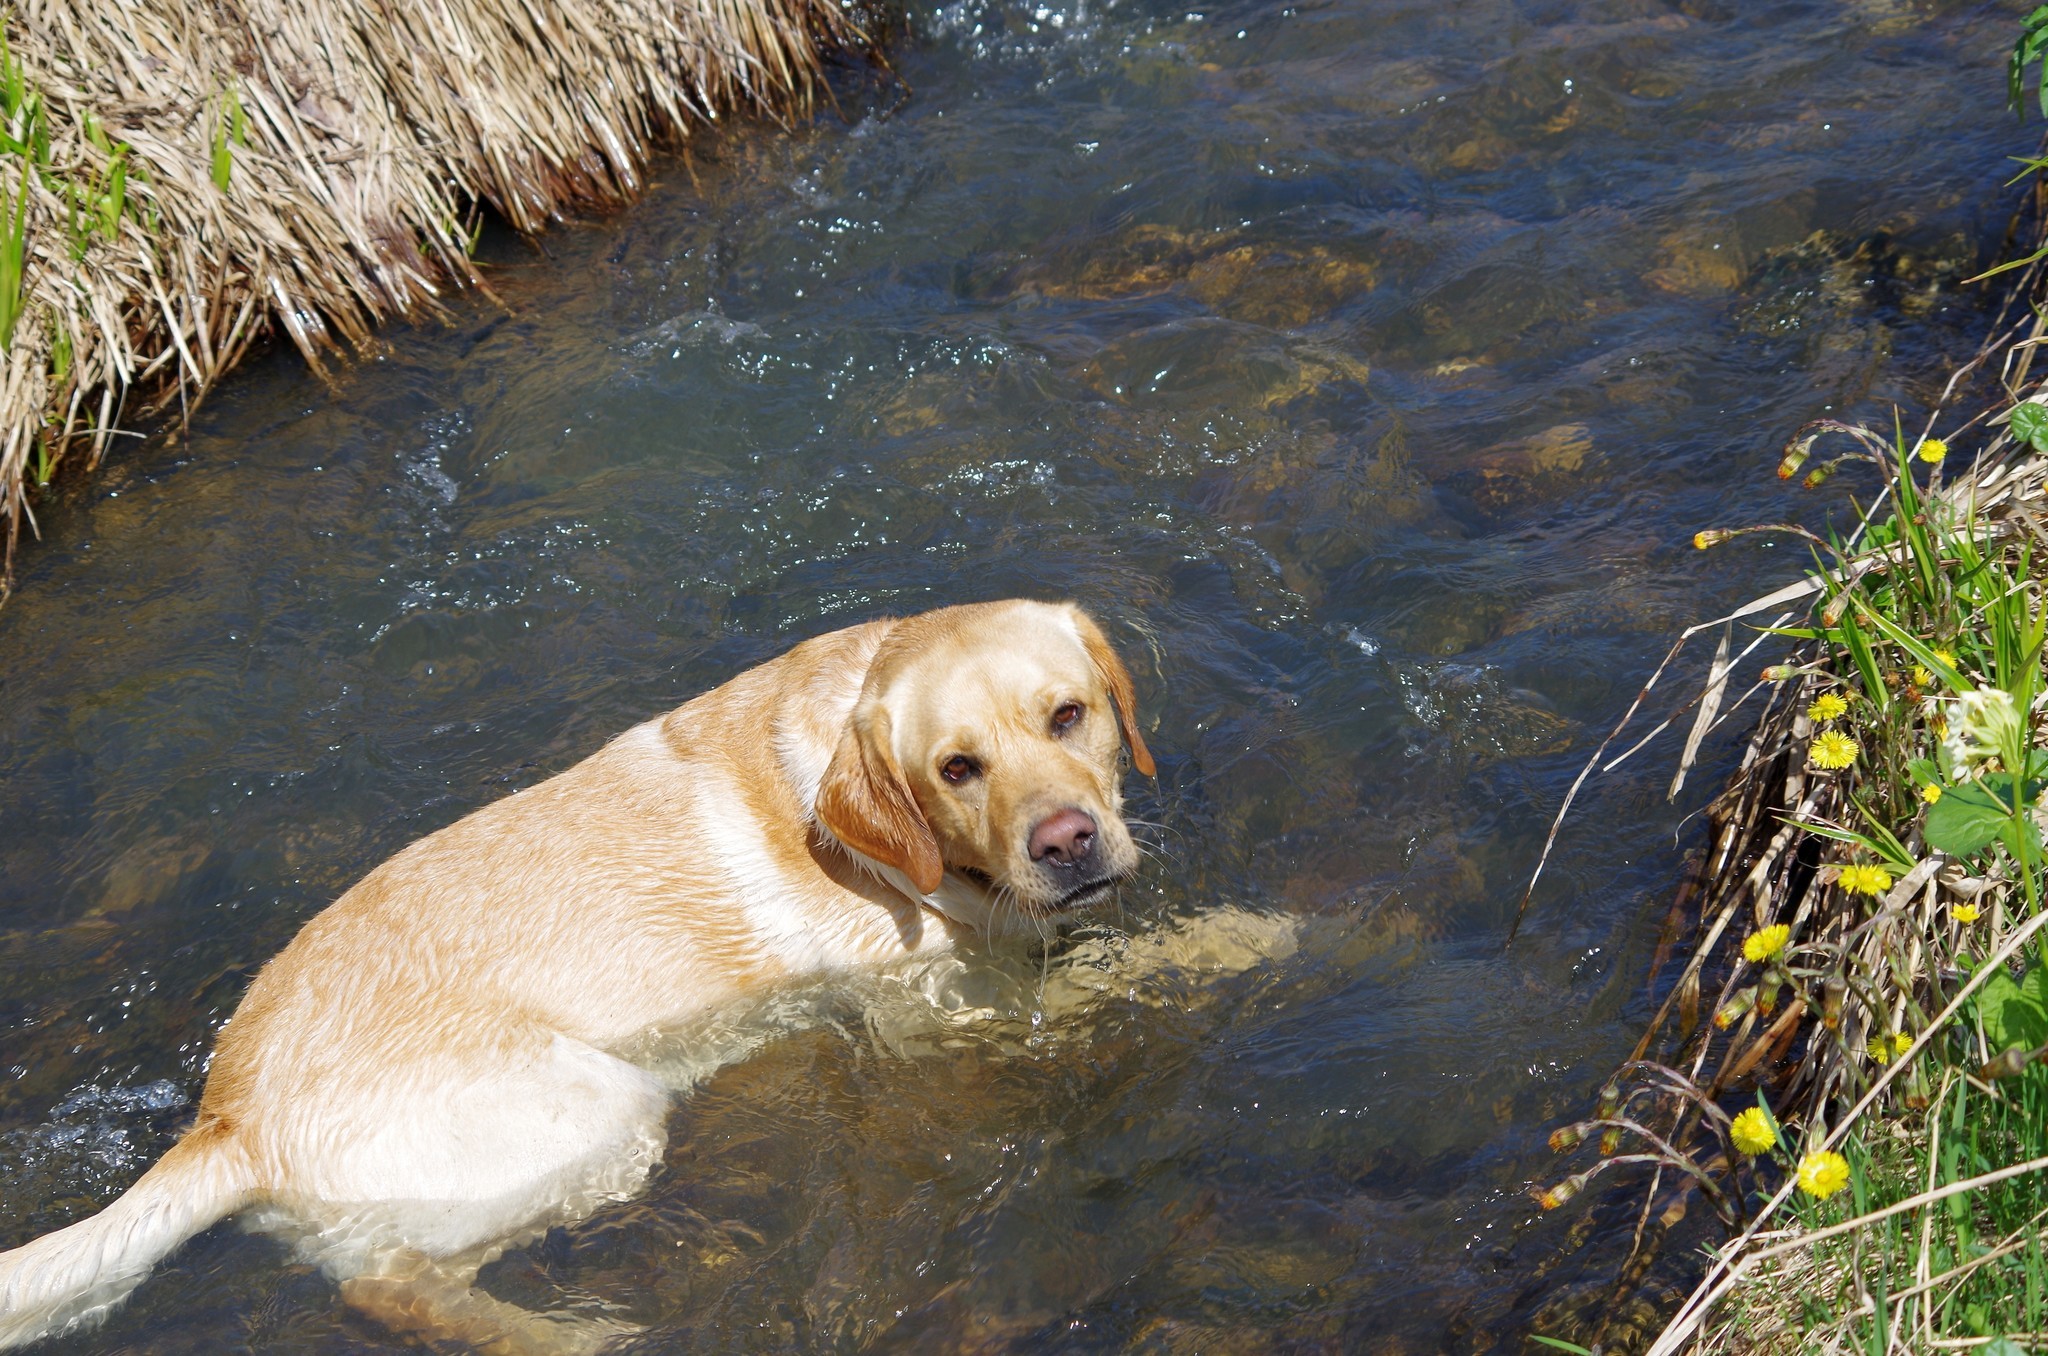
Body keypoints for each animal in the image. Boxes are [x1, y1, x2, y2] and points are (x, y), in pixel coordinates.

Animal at [0, 602, 1155, 1351]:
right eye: (957, 769)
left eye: (1069, 714)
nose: (1067, 844)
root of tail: (226, 1120)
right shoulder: (929, 1007)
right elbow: (1128, 968)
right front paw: (1199, 950)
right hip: (601, 1111)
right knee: (393, 1289)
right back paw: (569, 1336)